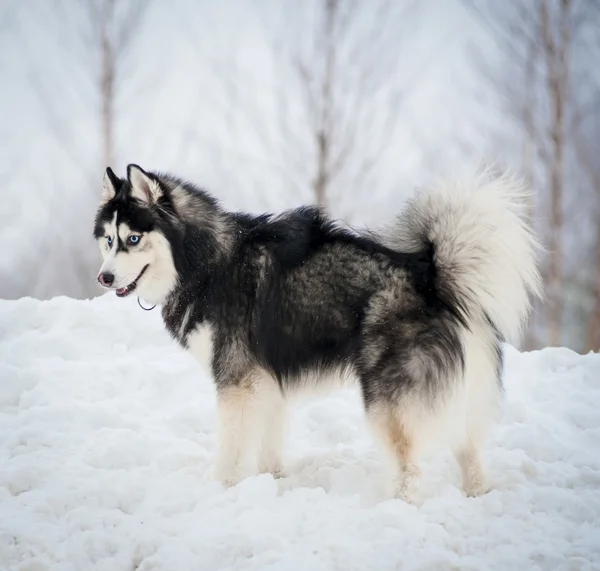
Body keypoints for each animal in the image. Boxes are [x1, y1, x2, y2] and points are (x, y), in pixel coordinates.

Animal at [95, 165, 544, 500]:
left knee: (411, 469)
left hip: (386, 400)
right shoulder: (266, 381)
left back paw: (395, 506)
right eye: (107, 240)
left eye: (133, 239)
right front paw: (272, 482)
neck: (205, 262)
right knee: (470, 450)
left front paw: (219, 490)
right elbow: (269, 447)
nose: (104, 277)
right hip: (465, 394)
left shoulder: (236, 383)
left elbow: (229, 451)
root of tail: (432, 278)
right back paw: (476, 494)